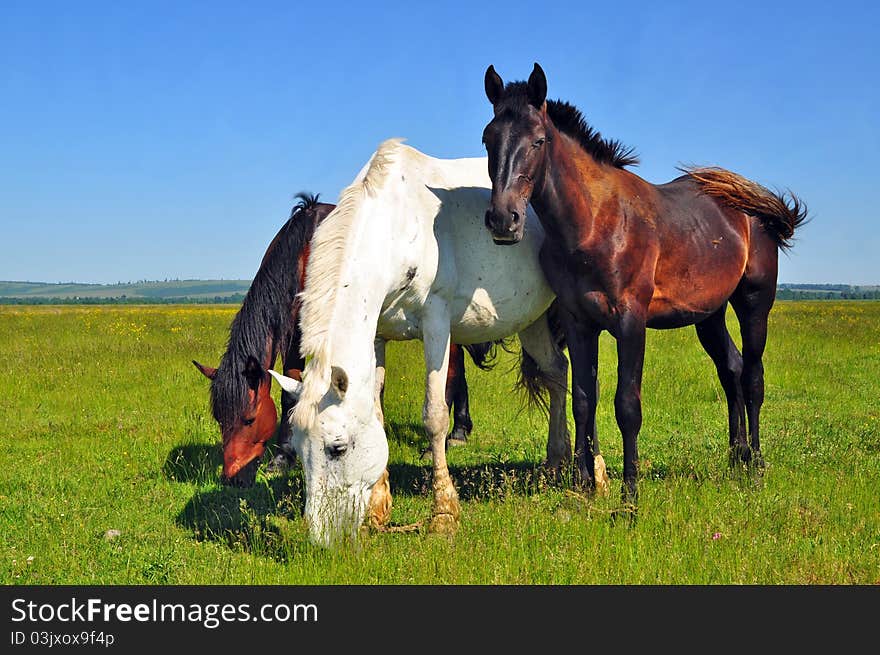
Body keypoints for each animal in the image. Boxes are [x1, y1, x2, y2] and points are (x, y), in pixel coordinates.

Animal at [194, 193, 496, 486]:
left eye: (249, 419)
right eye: (220, 419)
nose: (232, 478)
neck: (304, 252)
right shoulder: (294, 335)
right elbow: (289, 392)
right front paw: (283, 458)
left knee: (451, 376)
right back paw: (459, 431)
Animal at [270, 140, 604, 548]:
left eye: (338, 448)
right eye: (299, 450)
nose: (323, 539)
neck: (398, 228)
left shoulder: (437, 324)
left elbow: (435, 415)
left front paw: (443, 513)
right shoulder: (377, 335)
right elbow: (376, 410)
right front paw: (378, 509)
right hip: (532, 318)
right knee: (556, 372)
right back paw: (555, 462)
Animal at [484, 64, 808, 504]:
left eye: (538, 140)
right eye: (488, 139)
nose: (504, 220)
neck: (594, 223)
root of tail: (749, 208)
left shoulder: (629, 323)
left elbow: (627, 406)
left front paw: (629, 496)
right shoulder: (578, 322)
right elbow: (583, 399)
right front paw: (585, 485)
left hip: (754, 304)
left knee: (753, 377)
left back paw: (755, 465)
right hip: (709, 316)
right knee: (732, 370)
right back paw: (735, 458)